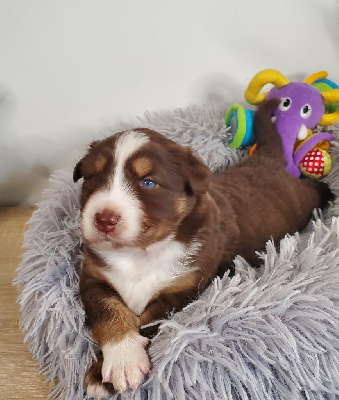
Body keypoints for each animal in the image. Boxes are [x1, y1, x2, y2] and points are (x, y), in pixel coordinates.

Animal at [73, 98, 334, 398]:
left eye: (148, 182)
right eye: (92, 178)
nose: (104, 219)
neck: (141, 253)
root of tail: (265, 159)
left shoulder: (182, 291)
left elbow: (147, 323)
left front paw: (115, 368)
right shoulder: (93, 276)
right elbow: (109, 312)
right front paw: (119, 359)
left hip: (303, 200)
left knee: (314, 189)